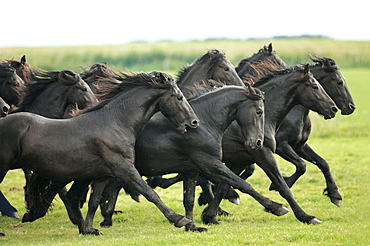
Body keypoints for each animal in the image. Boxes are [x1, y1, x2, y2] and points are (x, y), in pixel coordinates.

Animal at [0, 70, 199, 234]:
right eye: (179, 97)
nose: (194, 122)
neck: (116, 123)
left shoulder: (104, 174)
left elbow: (94, 201)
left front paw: (89, 229)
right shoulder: (124, 169)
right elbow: (150, 193)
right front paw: (181, 220)